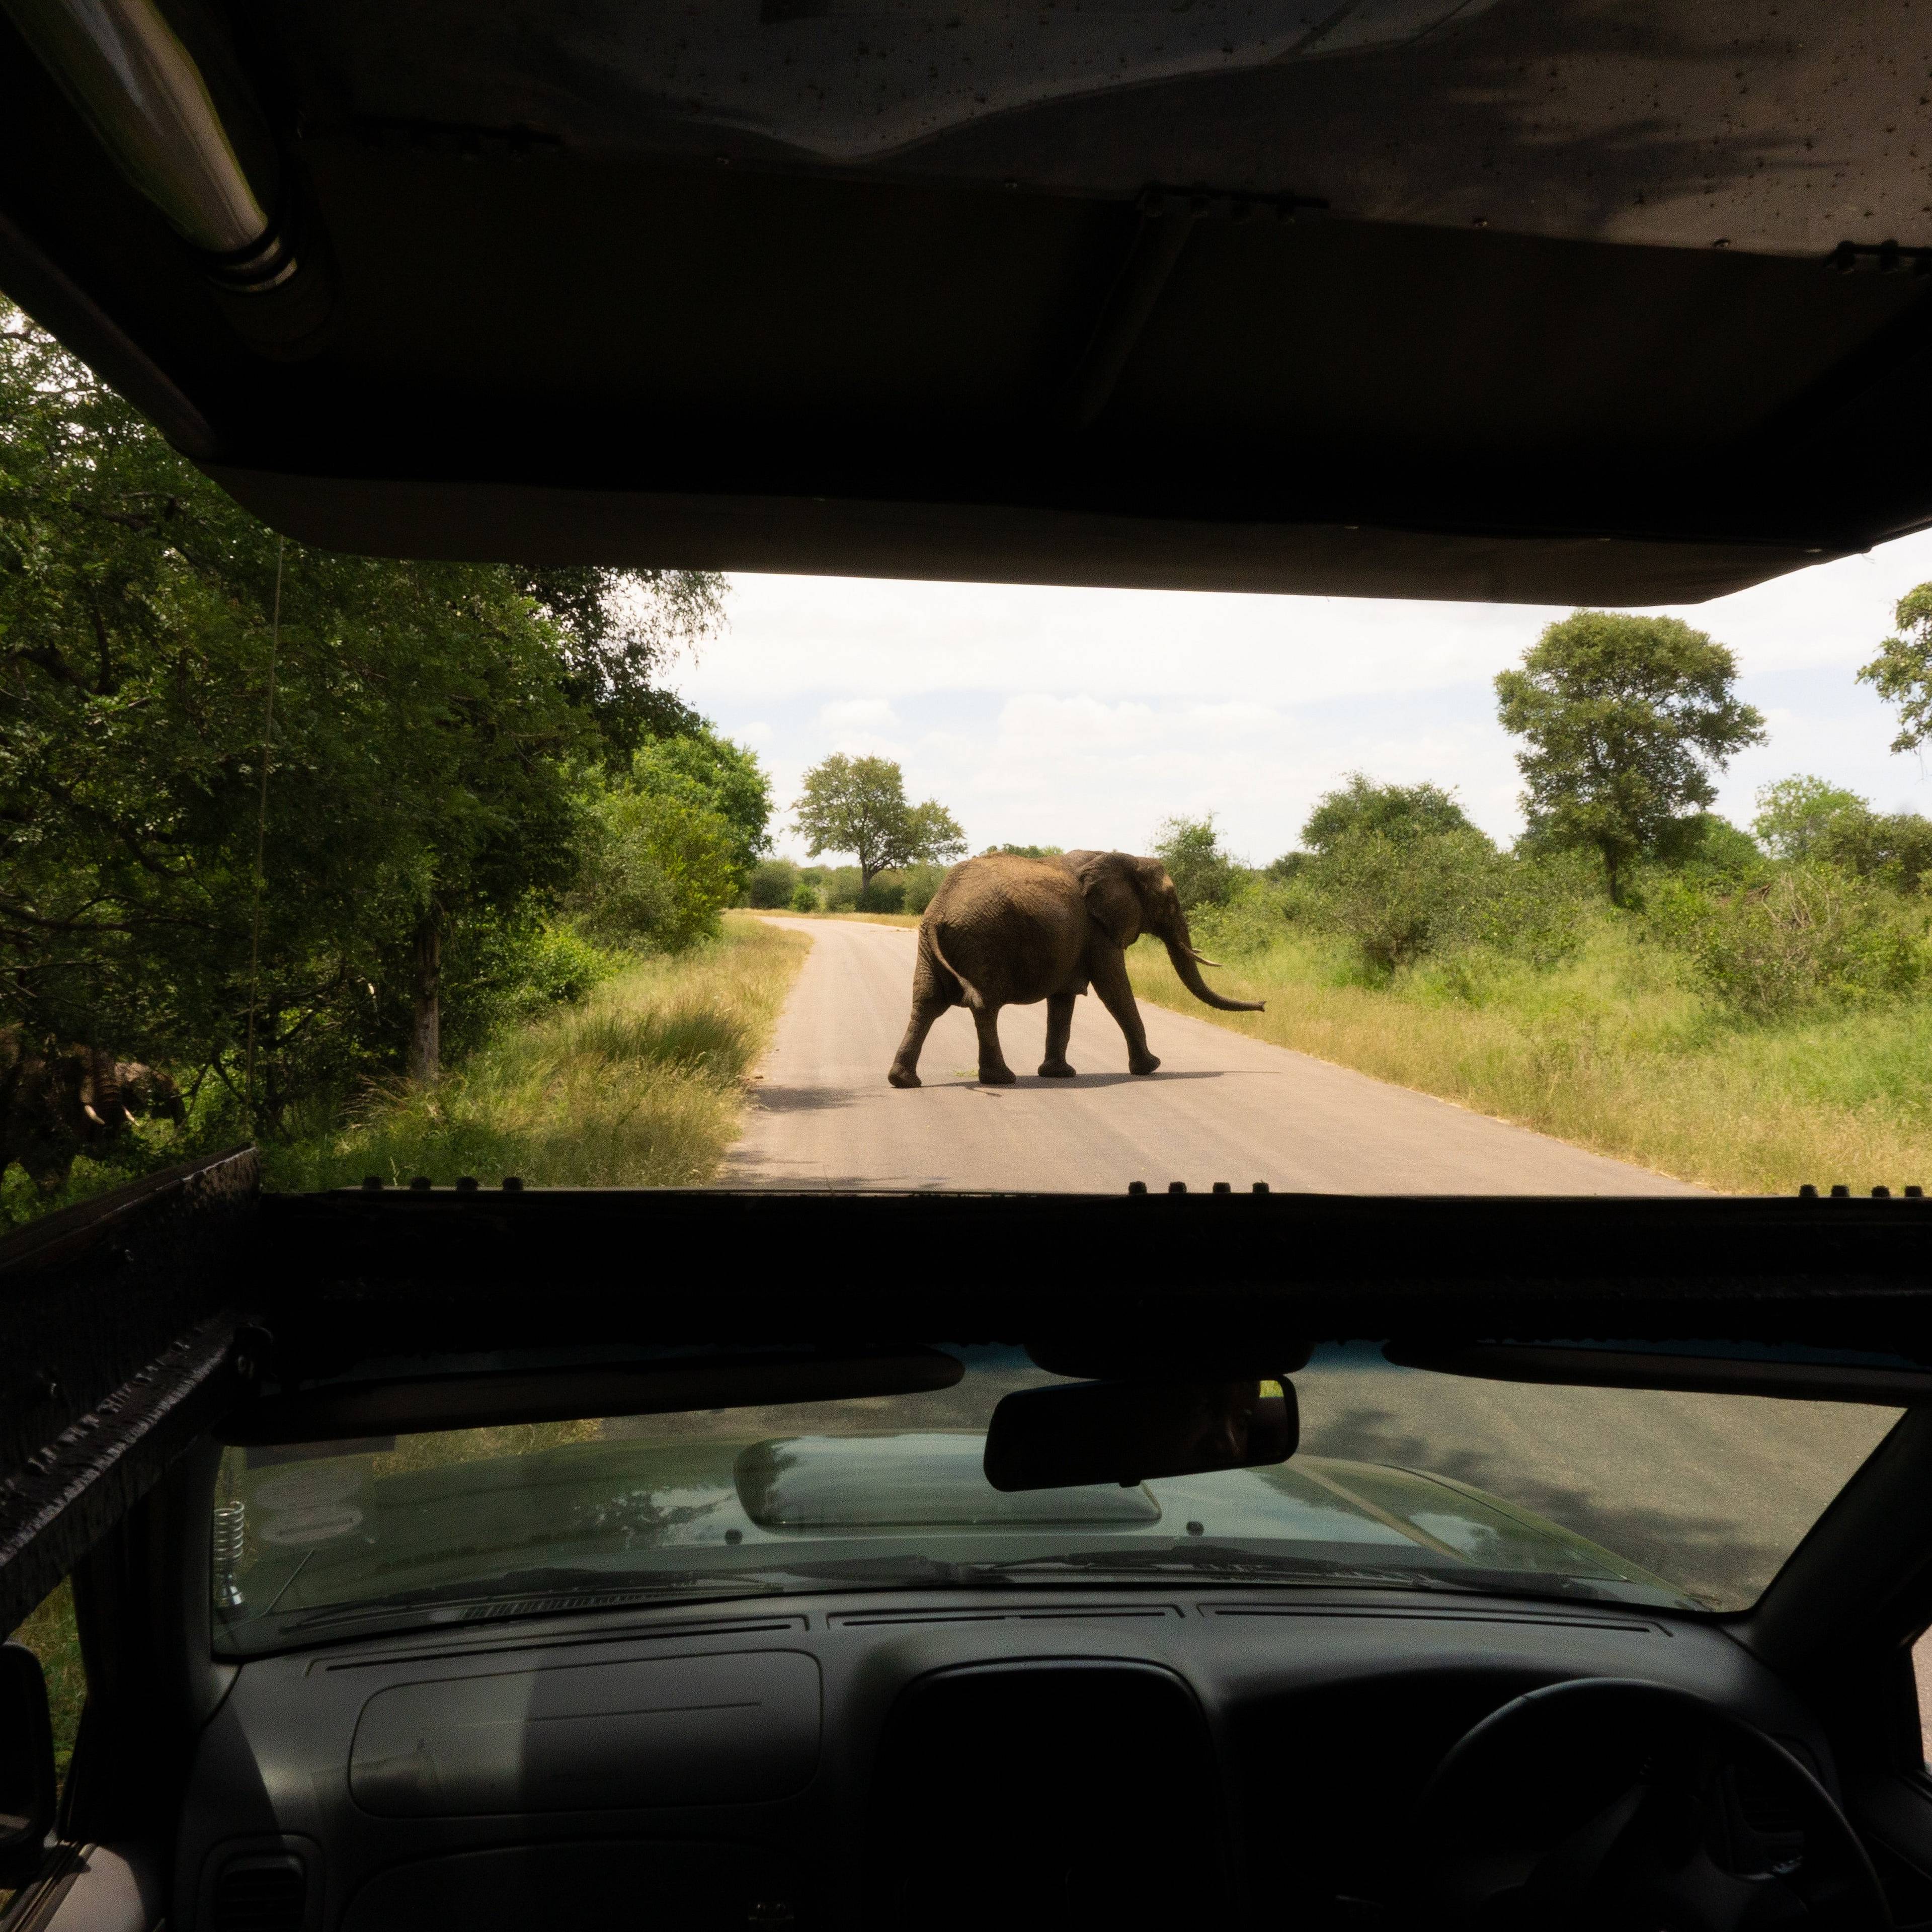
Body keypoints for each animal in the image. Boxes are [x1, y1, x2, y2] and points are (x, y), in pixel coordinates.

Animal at [889, 846, 1267, 1089]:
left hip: (932, 946)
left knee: (927, 1003)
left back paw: (903, 1081)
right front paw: (1152, 1067)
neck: (1124, 858)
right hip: (983, 942)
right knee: (984, 1005)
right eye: (1170, 901)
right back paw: (1002, 1079)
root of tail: (940, 909)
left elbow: (1064, 1000)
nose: (1265, 1004)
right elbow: (1114, 989)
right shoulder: (1098, 931)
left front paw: (1058, 1074)